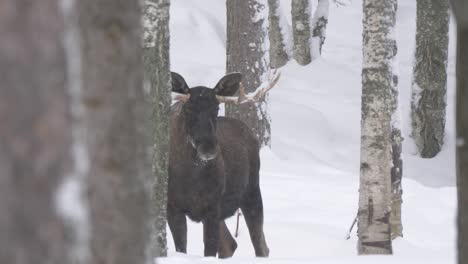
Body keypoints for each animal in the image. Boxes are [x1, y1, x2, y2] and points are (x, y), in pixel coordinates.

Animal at [167, 70, 278, 258]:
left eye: (216, 108)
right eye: (187, 109)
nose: (209, 146)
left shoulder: (212, 207)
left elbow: (209, 251)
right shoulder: (172, 207)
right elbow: (182, 248)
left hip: (252, 191)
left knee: (261, 245)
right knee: (230, 245)